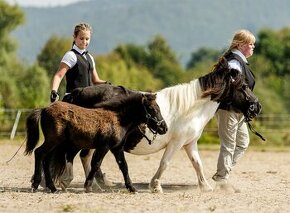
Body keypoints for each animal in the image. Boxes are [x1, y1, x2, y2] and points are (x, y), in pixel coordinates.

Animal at [24, 92, 168, 192]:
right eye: (152, 108)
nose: (164, 128)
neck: (117, 119)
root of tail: (44, 109)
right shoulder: (104, 147)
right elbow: (96, 163)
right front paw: (88, 186)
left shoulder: (117, 148)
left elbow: (123, 166)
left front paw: (131, 188)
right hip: (53, 140)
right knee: (39, 153)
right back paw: (36, 185)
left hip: (55, 143)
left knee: (46, 159)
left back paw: (52, 187)